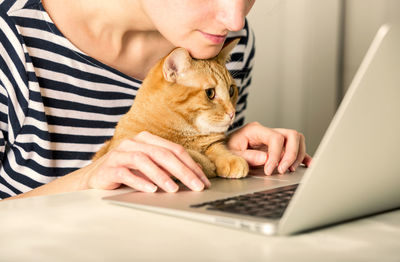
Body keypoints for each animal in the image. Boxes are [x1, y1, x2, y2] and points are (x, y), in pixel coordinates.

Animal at [94, 38, 250, 178]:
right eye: (210, 93)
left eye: (231, 90)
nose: (232, 113)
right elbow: (184, 152)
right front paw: (205, 163)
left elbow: (217, 148)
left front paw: (230, 159)